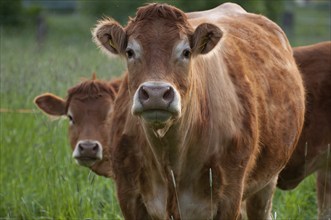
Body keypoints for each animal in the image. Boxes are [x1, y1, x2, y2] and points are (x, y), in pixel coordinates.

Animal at [92, 2, 304, 219]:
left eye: (186, 52)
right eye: (130, 52)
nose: (155, 93)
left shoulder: (229, 197)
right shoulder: (128, 195)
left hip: (266, 183)